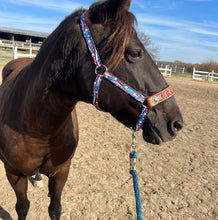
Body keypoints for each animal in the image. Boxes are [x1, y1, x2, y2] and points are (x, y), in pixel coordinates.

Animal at [0, 0, 182, 219]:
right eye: (134, 53)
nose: (175, 123)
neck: (37, 127)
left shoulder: (61, 172)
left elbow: (55, 208)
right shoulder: (14, 174)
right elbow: (22, 207)